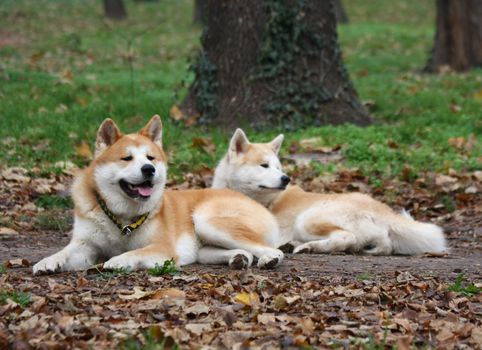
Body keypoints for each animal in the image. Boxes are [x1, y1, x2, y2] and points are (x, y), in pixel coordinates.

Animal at [33, 115, 282, 274]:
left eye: (150, 158)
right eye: (127, 158)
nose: (148, 169)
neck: (122, 216)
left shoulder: (162, 248)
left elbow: (133, 253)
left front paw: (118, 260)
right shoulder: (84, 245)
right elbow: (64, 253)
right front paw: (48, 262)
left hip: (207, 221)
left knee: (274, 250)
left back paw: (268, 259)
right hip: (205, 246)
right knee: (244, 251)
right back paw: (239, 258)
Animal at [213, 130, 446, 256]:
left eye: (278, 167)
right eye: (264, 166)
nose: (285, 178)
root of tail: (383, 210)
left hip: (308, 219)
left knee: (346, 238)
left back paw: (309, 247)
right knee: (383, 246)